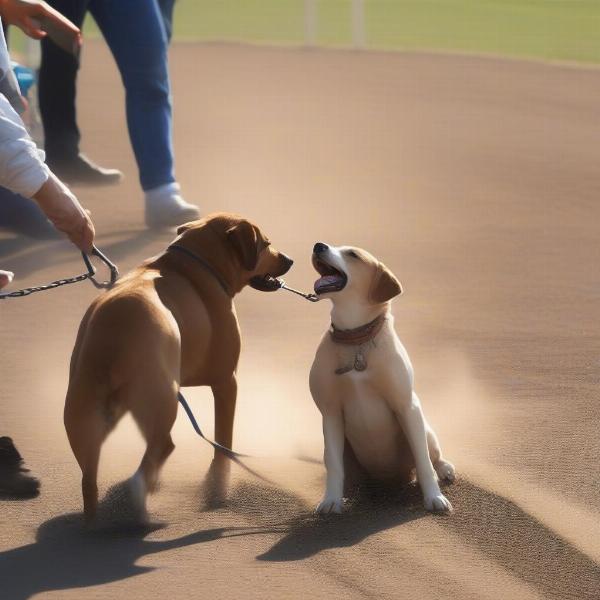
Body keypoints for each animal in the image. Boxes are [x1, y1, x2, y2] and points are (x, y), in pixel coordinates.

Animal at [65, 212, 292, 520]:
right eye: (266, 243)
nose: (290, 260)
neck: (196, 261)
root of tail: (112, 334)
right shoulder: (226, 381)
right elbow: (223, 439)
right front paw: (219, 480)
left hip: (82, 412)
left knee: (90, 474)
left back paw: (97, 518)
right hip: (162, 396)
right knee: (162, 446)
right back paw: (140, 494)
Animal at [310, 241, 454, 512]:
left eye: (352, 254)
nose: (318, 245)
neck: (356, 338)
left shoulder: (407, 406)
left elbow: (423, 461)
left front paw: (434, 497)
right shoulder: (330, 413)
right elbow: (333, 464)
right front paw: (331, 500)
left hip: (425, 428)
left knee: (432, 455)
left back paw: (445, 468)